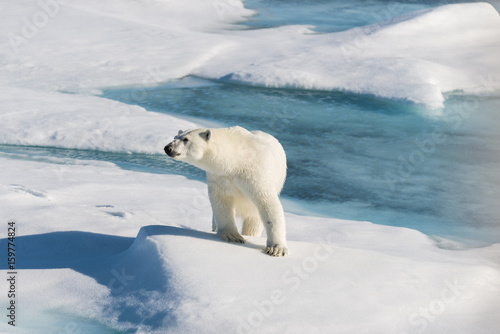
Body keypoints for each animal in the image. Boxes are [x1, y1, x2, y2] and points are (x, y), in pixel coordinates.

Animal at [165, 126, 290, 258]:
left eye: (186, 139)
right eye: (175, 137)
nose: (168, 148)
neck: (237, 160)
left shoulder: (256, 173)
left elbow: (267, 202)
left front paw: (276, 249)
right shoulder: (220, 176)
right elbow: (222, 201)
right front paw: (233, 236)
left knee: (253, 221)